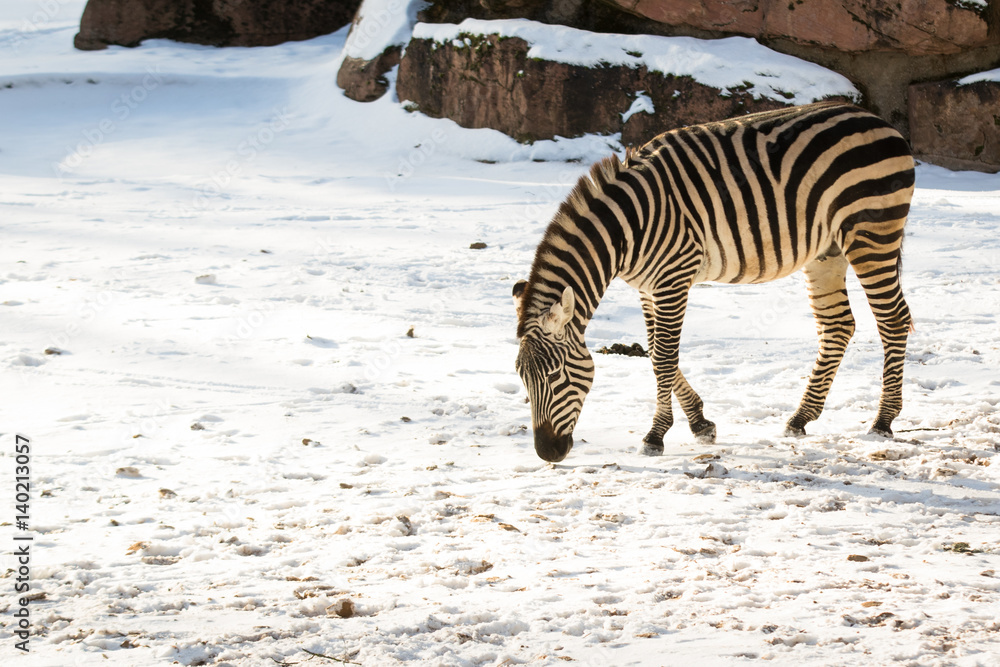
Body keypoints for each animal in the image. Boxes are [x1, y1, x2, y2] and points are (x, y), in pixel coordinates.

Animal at [512, 101, 914, 463]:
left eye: (556, 375)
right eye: (523, 380)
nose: (547, 453)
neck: (626, 228)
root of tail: (882, 123)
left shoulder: (673, 277)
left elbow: (663, 356)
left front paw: (655, 436)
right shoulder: (647, 287)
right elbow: (654, 351)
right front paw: (701, 423)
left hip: (871, 235)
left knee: (894, 320)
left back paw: (883, 420)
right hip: (826, 252)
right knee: (838, 326)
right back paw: (801, 417)